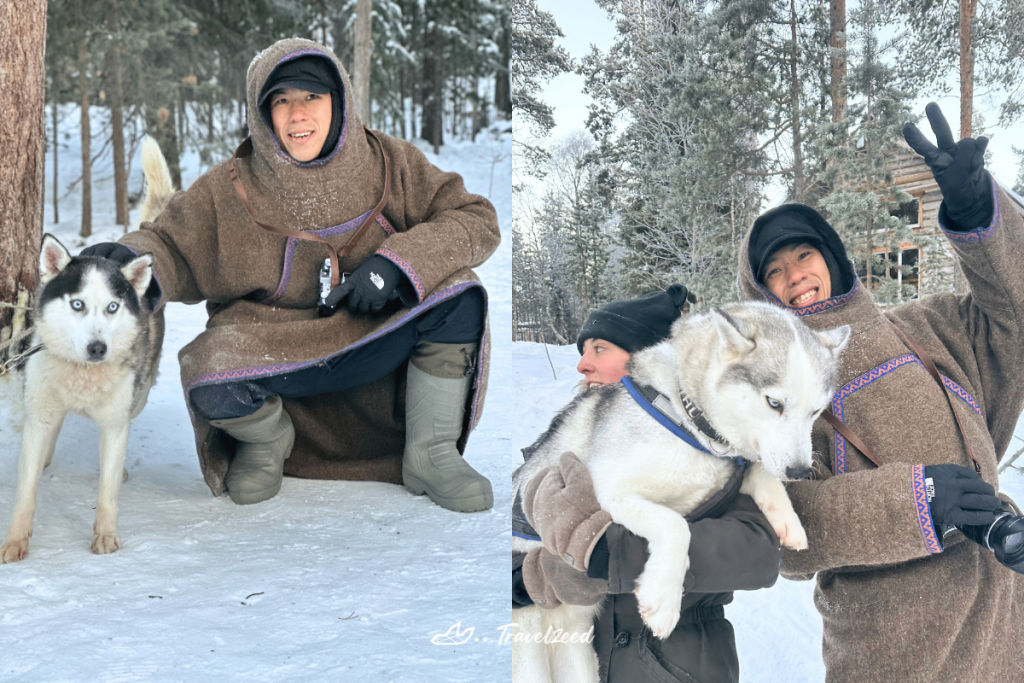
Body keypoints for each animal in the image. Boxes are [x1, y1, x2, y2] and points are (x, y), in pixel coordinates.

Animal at [0, 137, 172, 561]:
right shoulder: (40, 410)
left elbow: (106, 491)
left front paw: (105, 536)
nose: (97, 348)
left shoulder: (114, 422)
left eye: (112, 307)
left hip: (138, 396)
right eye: (77, 304)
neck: (83, 376)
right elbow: (25, 492)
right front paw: (15, 541)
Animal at [509, 303, 847, 683]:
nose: (801, 472)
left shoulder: (728, 469)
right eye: (774, 403)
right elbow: (674, 525)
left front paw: (787, 519)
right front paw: (663, 598)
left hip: (578, 658)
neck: (687, 417)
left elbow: (759, 471)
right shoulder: (602, 489)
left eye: (816, 411)